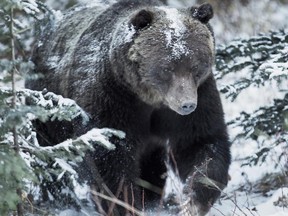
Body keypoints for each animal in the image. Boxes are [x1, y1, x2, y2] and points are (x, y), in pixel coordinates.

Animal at [26, 0, 230, 214]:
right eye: (167, 68)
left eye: (196, 67)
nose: (187, 104)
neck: (149, 98)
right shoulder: (112, 97)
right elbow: (110, 156)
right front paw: (126, 203)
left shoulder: (199, 95)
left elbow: (201, 142)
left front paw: (194, 200)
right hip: (48, 109)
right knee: (52, 158)